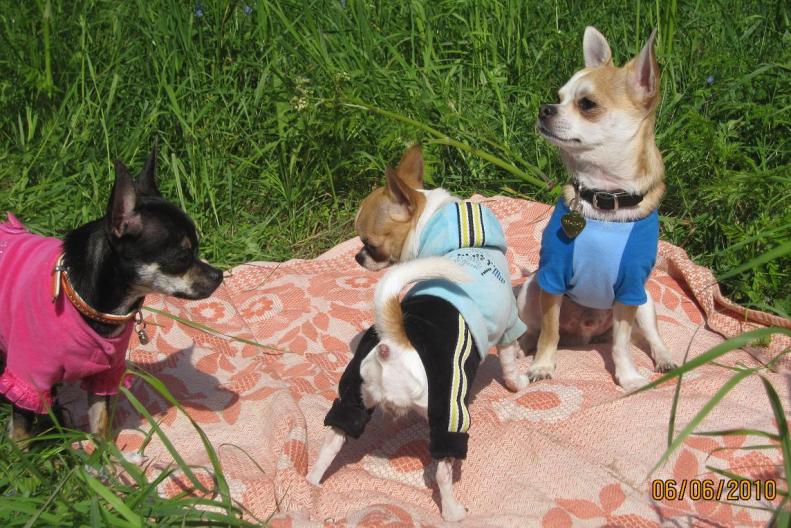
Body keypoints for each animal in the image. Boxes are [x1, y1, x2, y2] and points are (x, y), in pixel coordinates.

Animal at [0, 142, 223, 442]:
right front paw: (20, 454)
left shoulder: (104, 376)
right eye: (181, 256)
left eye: (197, 249)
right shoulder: (28, 379)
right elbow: (22, 432)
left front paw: (103, 453)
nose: (218, 275)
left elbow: (101, 423)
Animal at [307, 145, 528, 521]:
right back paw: (453, 511)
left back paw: (311, 484)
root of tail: (395, 341)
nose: (357, 256)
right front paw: (519, 384)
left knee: (334, 436)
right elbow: (511, 362)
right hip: (448, 406)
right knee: (442, 467)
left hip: (353, 395)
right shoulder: (509, 325)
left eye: (370, 244)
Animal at [516, 27, 676, 391]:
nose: (544, 108)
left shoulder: (630, 289)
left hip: (645, 301)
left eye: (586, 104)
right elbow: (549, 331)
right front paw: (542, 366)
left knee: (651, 336)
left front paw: (628, 376)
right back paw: (523, 345)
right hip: (530, 290)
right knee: (538, 328)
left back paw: (665, 358)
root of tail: (584, 338)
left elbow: (621, 343)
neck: (604, 199)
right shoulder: (552, 278)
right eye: (558, 96)